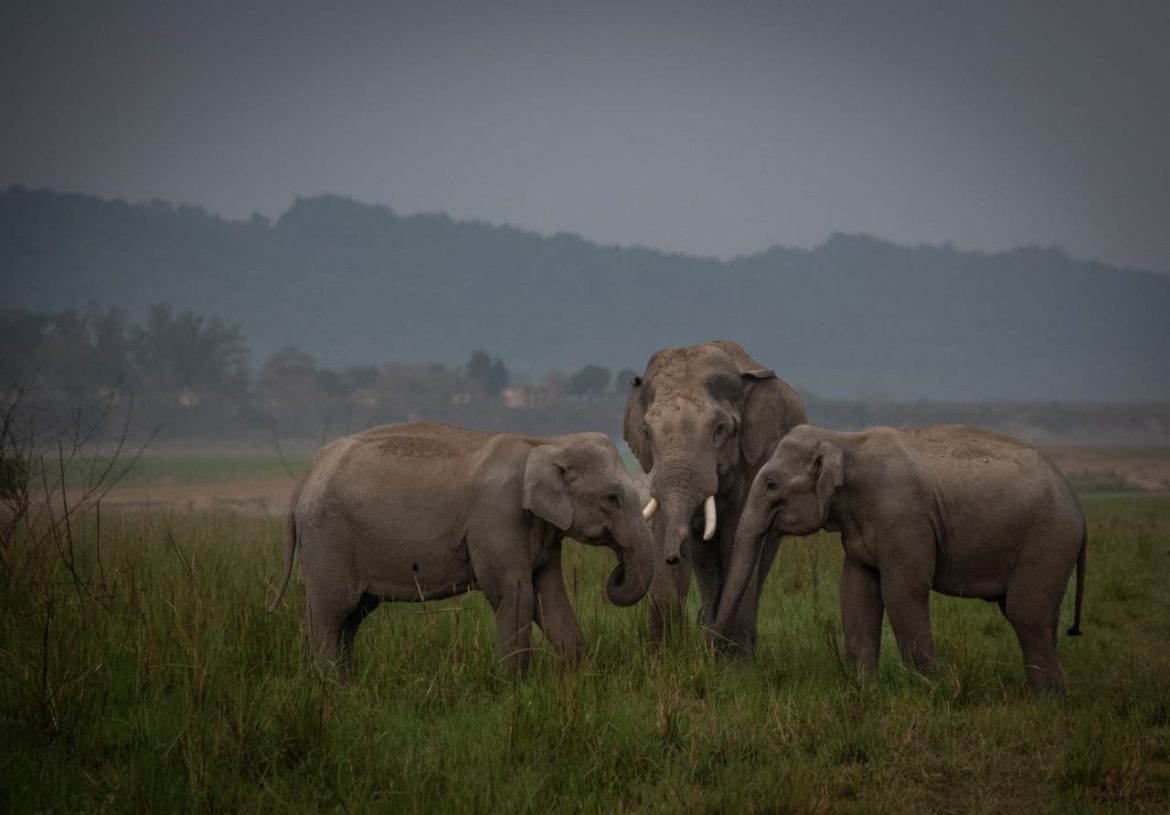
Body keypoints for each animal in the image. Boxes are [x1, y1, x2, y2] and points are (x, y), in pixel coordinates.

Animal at [268, 421, 655, 678]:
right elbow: (515, 595)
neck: (547, 443)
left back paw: (347, 686)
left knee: (353, 615)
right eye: (611, 498)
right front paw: (514, 688)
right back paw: (329, 687)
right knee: (331, 612)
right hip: (326, 539)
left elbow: (550, 598)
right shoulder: (498, 518)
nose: (617, 571)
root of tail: (306, 475)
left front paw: (580, 676)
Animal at [623, 340, 807, 654]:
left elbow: (736, 538)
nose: (671, 557)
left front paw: (733, 662)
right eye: (646, 432)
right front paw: (663, 659)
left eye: (720, 429)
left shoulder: (756, 459)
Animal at [713, 423, 1088, 694]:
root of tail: (1077, 506)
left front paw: (929, 691)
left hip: (1048, 539)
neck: (843, 441)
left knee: (1027, 614)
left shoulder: (902, 515)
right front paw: (864, 691)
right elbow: (856, 591)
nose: (713, 659)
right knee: (1033, 616)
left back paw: (1045, 700)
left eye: (771, 486)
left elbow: (902, 591)